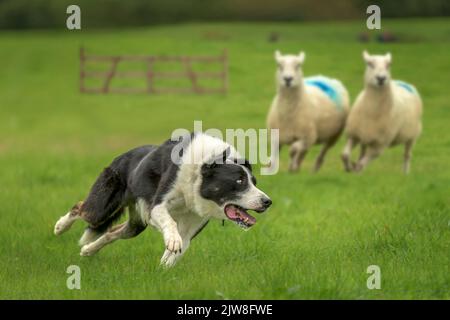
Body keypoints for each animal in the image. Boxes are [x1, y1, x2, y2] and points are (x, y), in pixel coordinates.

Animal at [52, 131, 270, 266]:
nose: (267, 202)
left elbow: (176, 252)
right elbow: (171, 226)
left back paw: (88, 250)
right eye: (239, 181)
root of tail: (121, 156)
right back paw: (60, 227)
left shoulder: (191, 226)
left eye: (254, 181)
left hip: (136, 224)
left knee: (112, 232)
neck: (198, 177)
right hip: (102, 207)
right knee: (81, 208)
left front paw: (162, 271)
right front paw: (172, 240)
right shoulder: (157, 206)